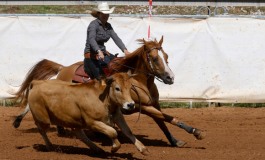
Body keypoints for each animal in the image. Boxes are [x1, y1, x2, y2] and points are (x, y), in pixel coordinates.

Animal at [12, 36, 204, 148]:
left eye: (167, 57)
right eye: (155, 58)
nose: (170, 78)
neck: (139, 81)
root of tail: (64, 68)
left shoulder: (153, 104)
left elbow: (164, 122)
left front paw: (175, 140)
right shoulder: (142, 107)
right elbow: (168, 118)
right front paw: (195, 131)